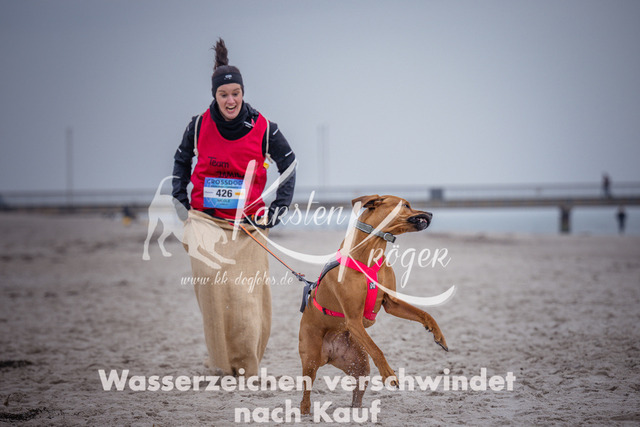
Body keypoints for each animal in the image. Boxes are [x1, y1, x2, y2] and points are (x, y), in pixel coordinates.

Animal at [298, 195, 448, 414]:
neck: (370, 250)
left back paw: (356, 411)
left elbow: (424, 314)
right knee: (306, 391)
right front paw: (389, 374)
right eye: (406, 205)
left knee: (357, 391)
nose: (430, 213)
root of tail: (330, 352)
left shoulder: (391, 303)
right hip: (310, 358)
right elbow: (377, 349)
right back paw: (305, 410)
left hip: (359, 362)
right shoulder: (353, 320)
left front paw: (438, 335)